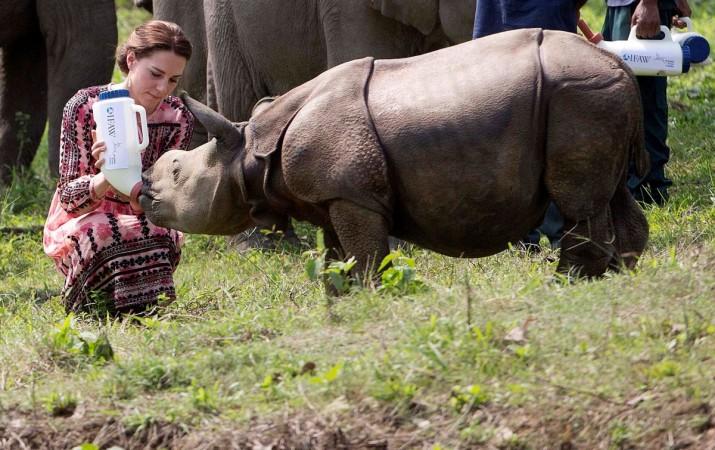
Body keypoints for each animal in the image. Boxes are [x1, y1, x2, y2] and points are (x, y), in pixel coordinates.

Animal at [139, 29, 649, 278]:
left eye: (177, 170)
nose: (142, 192)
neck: (250, 153)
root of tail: (617, 63)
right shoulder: (334, 195)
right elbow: (339, 258)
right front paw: (341, 299)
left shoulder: (351, 193)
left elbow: (366, 258)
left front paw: (370, 296)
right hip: (596, 95)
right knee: (610, 192)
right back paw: (619, 275)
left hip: (576, 94)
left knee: (579, 199)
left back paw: (566, 283)